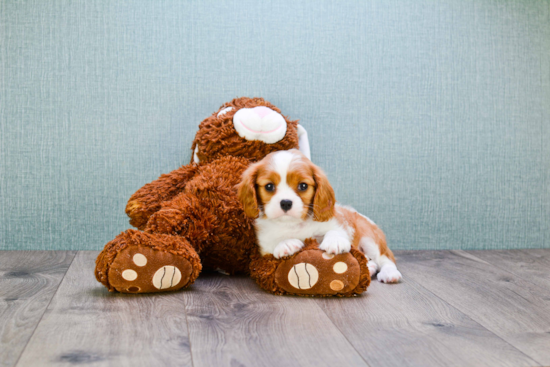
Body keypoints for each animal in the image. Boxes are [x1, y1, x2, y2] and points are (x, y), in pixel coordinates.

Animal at [239, 150, 404, 284]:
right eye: (269, 186)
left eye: (303, 186)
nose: (286, 203)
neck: (294, 224)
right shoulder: (264, 246)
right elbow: (273, 245)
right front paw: (286, 243)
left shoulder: (338, 223)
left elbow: (335, 231)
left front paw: (334, 241)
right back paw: (369, 267)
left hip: (370, 239)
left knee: (385, 259)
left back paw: (389, 273)